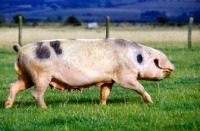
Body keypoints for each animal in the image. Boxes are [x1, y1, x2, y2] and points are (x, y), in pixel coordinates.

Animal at [3, 37, 174, 108]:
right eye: (158, 63)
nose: (172, 68)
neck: (136, 58)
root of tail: (21, 50)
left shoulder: (109, 79)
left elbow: (105, 92)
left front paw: (102, 105)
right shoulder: (124, 76)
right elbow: (139, 87)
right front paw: (150, 102)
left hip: (27, 75)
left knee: (14, 86)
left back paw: (7, 106)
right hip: (41, 75)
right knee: (36, 93)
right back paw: (44, 108)